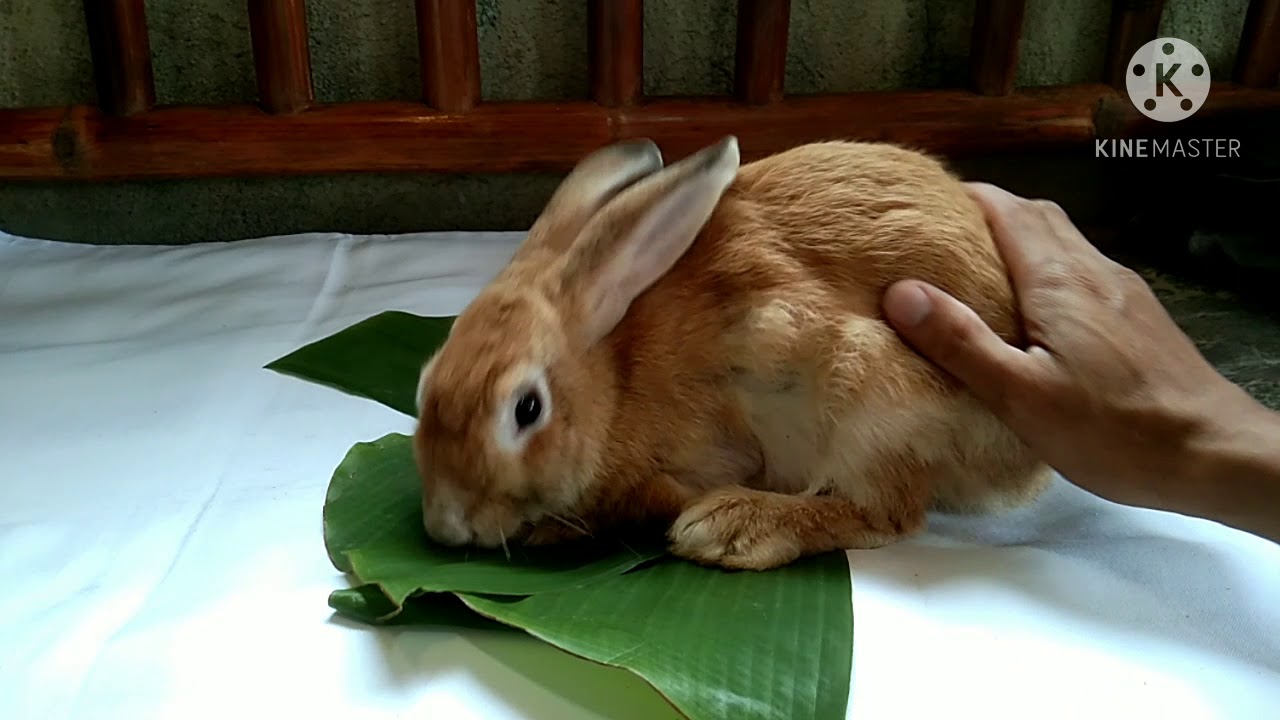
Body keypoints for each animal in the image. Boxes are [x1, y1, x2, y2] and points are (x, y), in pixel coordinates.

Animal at [411, 135, 1054, 571]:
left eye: (527, 409)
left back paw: (729, 528)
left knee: (884, 513)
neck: (614, 381)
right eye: (424, 385)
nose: (446, 526)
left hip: (872, 398)